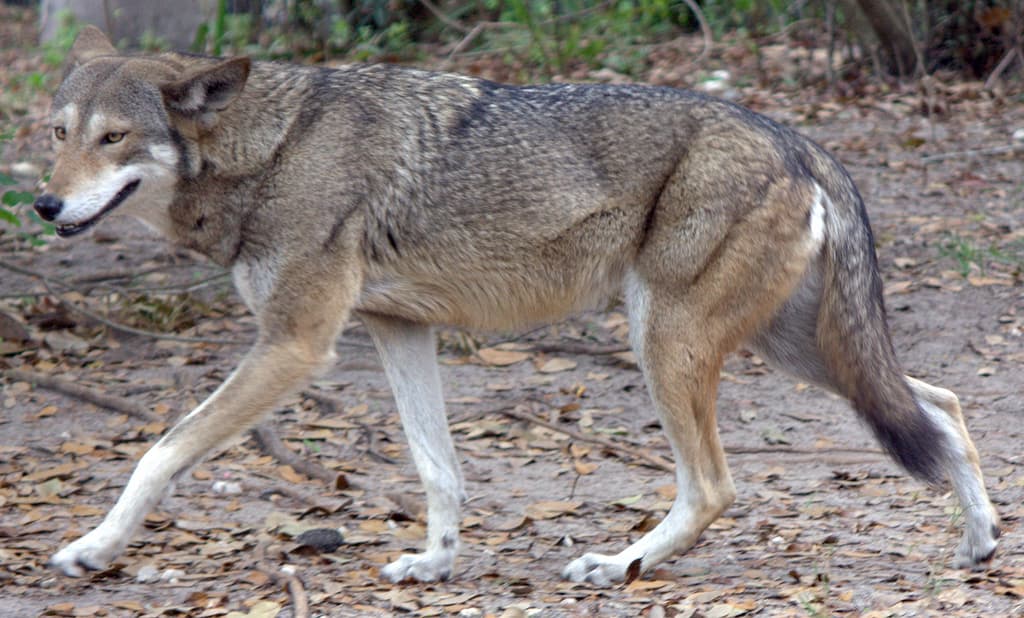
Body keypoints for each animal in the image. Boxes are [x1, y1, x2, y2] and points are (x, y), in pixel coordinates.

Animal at [38, 26, 998, 585]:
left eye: (113, 138)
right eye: (57, 134)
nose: (44, 206)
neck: (271, 150)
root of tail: (796, 137)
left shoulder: (295, 344)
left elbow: (160, 452)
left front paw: (95, 549)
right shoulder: (396, 331)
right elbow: (439, 468)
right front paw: (435, 563)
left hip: (671, 344)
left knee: (716, 486)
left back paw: (620, 564)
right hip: (792, 350)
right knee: (942, 404)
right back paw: (981, 542)